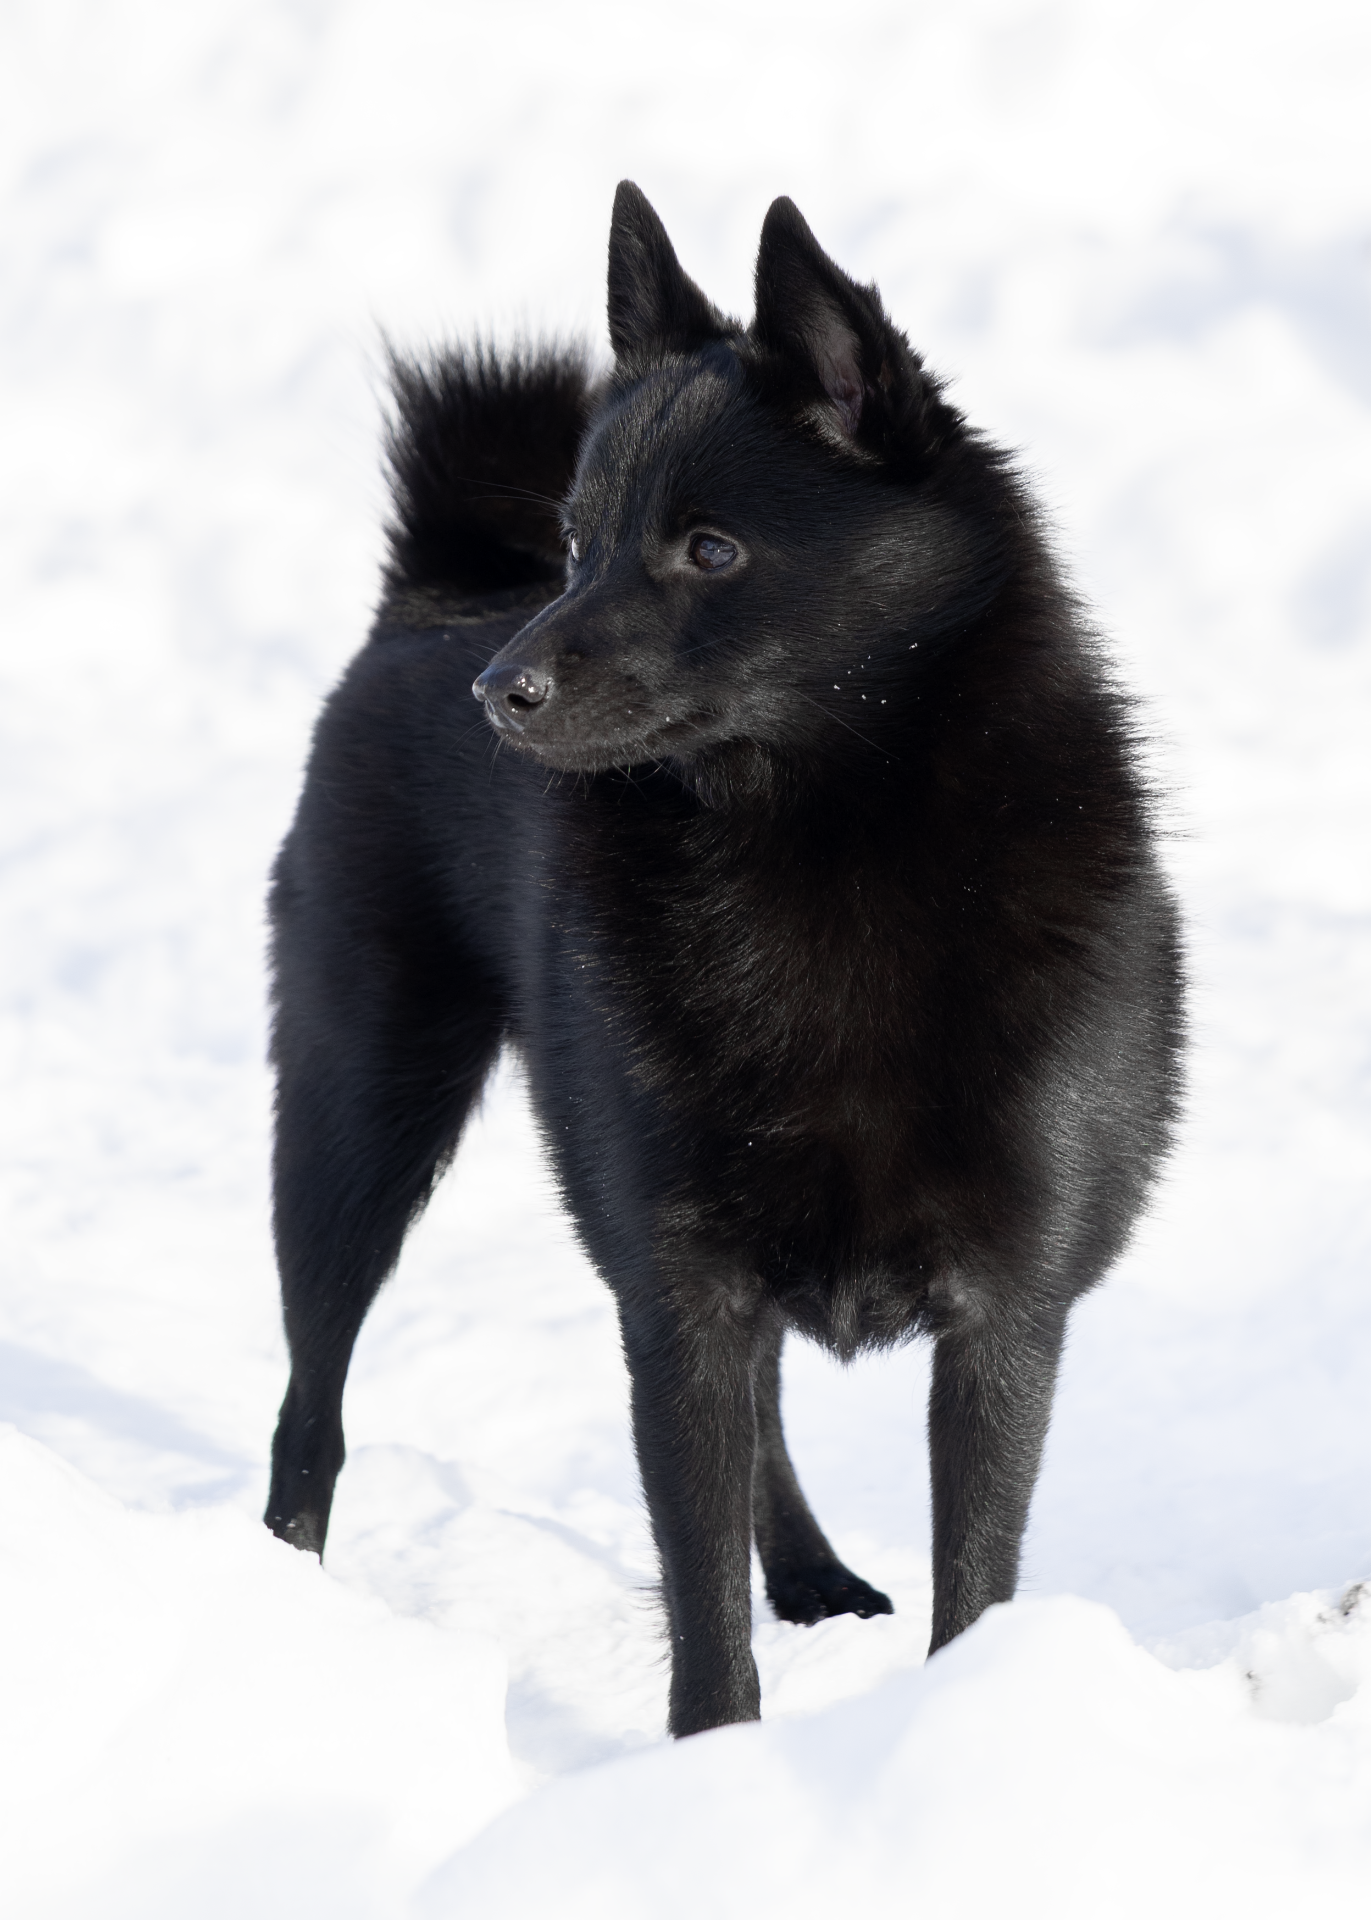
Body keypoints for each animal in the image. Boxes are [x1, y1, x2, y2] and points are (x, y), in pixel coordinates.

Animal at [265, 182, 1184, 1738]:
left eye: (709, 549)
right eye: (579, 541)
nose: (501, 691)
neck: (820, 871)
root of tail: (435, 598)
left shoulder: (1003, 1314)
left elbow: (968, 1574)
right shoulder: (678, 1281)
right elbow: (703, 1610)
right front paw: (712, 1770)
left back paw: (810, 1576)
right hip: (357, 1120)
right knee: (308, 1402)